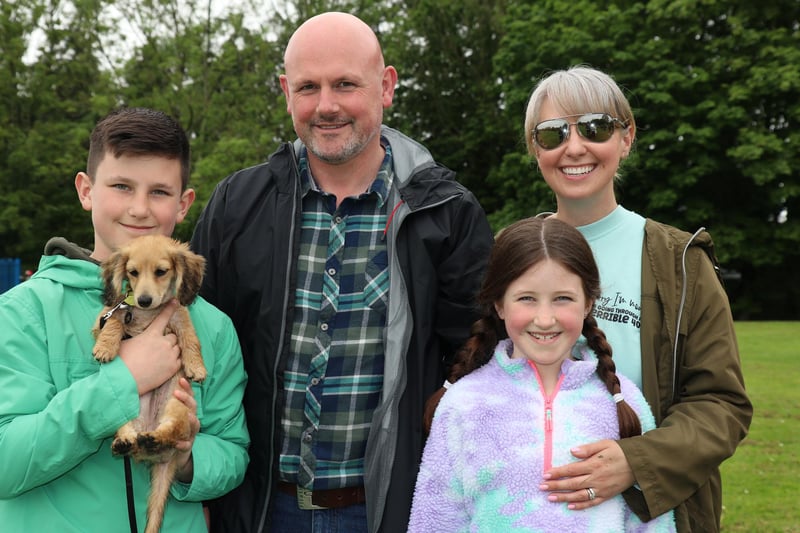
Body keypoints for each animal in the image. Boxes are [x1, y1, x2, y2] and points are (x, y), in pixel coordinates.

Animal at [90, 235, 206, 532]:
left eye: (161, 271)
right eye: (132, 272)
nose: (143, 300)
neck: (148, 315)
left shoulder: (180, 317)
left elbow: (191, 338)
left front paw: (196, 366)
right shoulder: (109, 315)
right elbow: (115, 322)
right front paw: (106, 347)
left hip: (176, 404)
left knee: (173, 431)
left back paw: (154, 438)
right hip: (120, 413)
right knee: (128, 435)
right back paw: (126, 443)